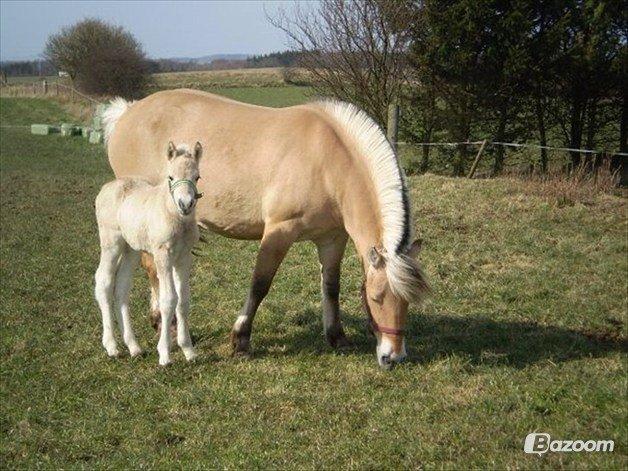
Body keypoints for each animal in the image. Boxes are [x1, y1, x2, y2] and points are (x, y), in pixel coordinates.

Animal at [94, 140, 202, 366]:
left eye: (197, 177)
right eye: (171, 177)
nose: (185, 204)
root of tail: (107, 187)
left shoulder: (184, 257)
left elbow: (183, 301)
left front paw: (188, 350)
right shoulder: (163, 255)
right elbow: (168, 300)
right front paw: (165, 354)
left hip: (131, 250)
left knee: (122, 288)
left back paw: (134, 347)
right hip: (111, 243)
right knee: (104, 282)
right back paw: (112, 346)